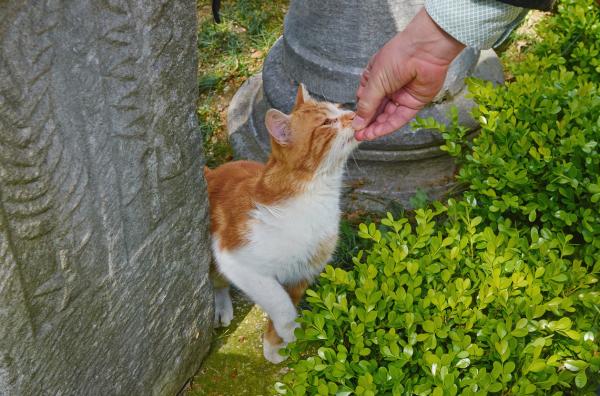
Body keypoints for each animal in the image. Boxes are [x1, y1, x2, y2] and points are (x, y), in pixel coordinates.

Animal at [206, 85, 356, 364]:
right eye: (326, 122)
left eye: (340, 108)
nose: (353, 114)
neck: (316, 195)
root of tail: (211, 172)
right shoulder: (237, 260)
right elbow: (280, 304)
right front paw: (291, 331)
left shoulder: (302, 273)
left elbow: (286, 303)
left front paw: (275, 346)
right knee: (217, 281)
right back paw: (220, 307)